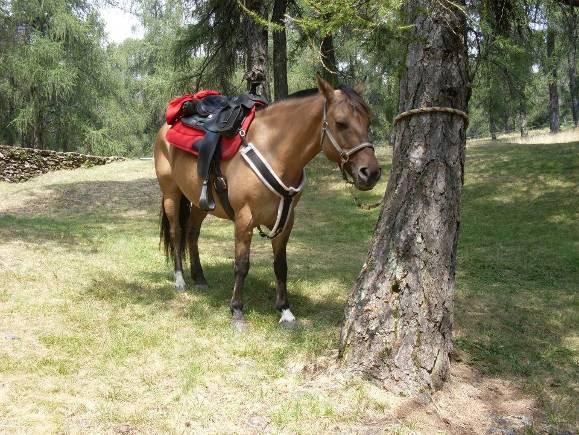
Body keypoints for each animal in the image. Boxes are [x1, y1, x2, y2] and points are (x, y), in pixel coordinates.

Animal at [154, 76, 380, 328]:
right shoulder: (244, 219)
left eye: (368, 120)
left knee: (192, 233)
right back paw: (180, 280)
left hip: (200, 203)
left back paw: (200, 277)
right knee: (176, 232)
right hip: (171, 194)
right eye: (341, 123)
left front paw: (285, 311)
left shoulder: (286, 219)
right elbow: (241, 265)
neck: (273, 149)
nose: (370, 173)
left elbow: (281, 266)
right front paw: (237, 311)